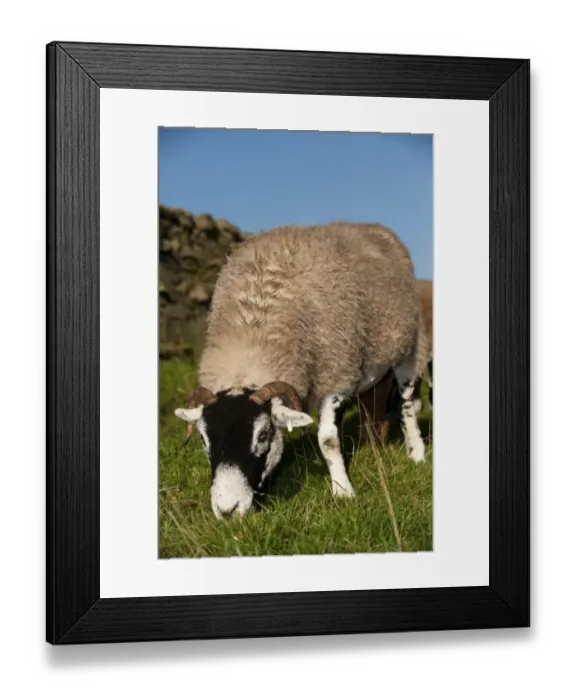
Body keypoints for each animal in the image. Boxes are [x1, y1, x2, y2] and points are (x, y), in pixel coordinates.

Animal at [174, 222, 429, 519]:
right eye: (203, 439)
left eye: (263, 435)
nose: (228, 510)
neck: (256, 326)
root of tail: (374, 227)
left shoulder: (336, 375)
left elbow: (328, 441)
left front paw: (343, 492)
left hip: (410, 347)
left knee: (407, 403)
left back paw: (416, 452)